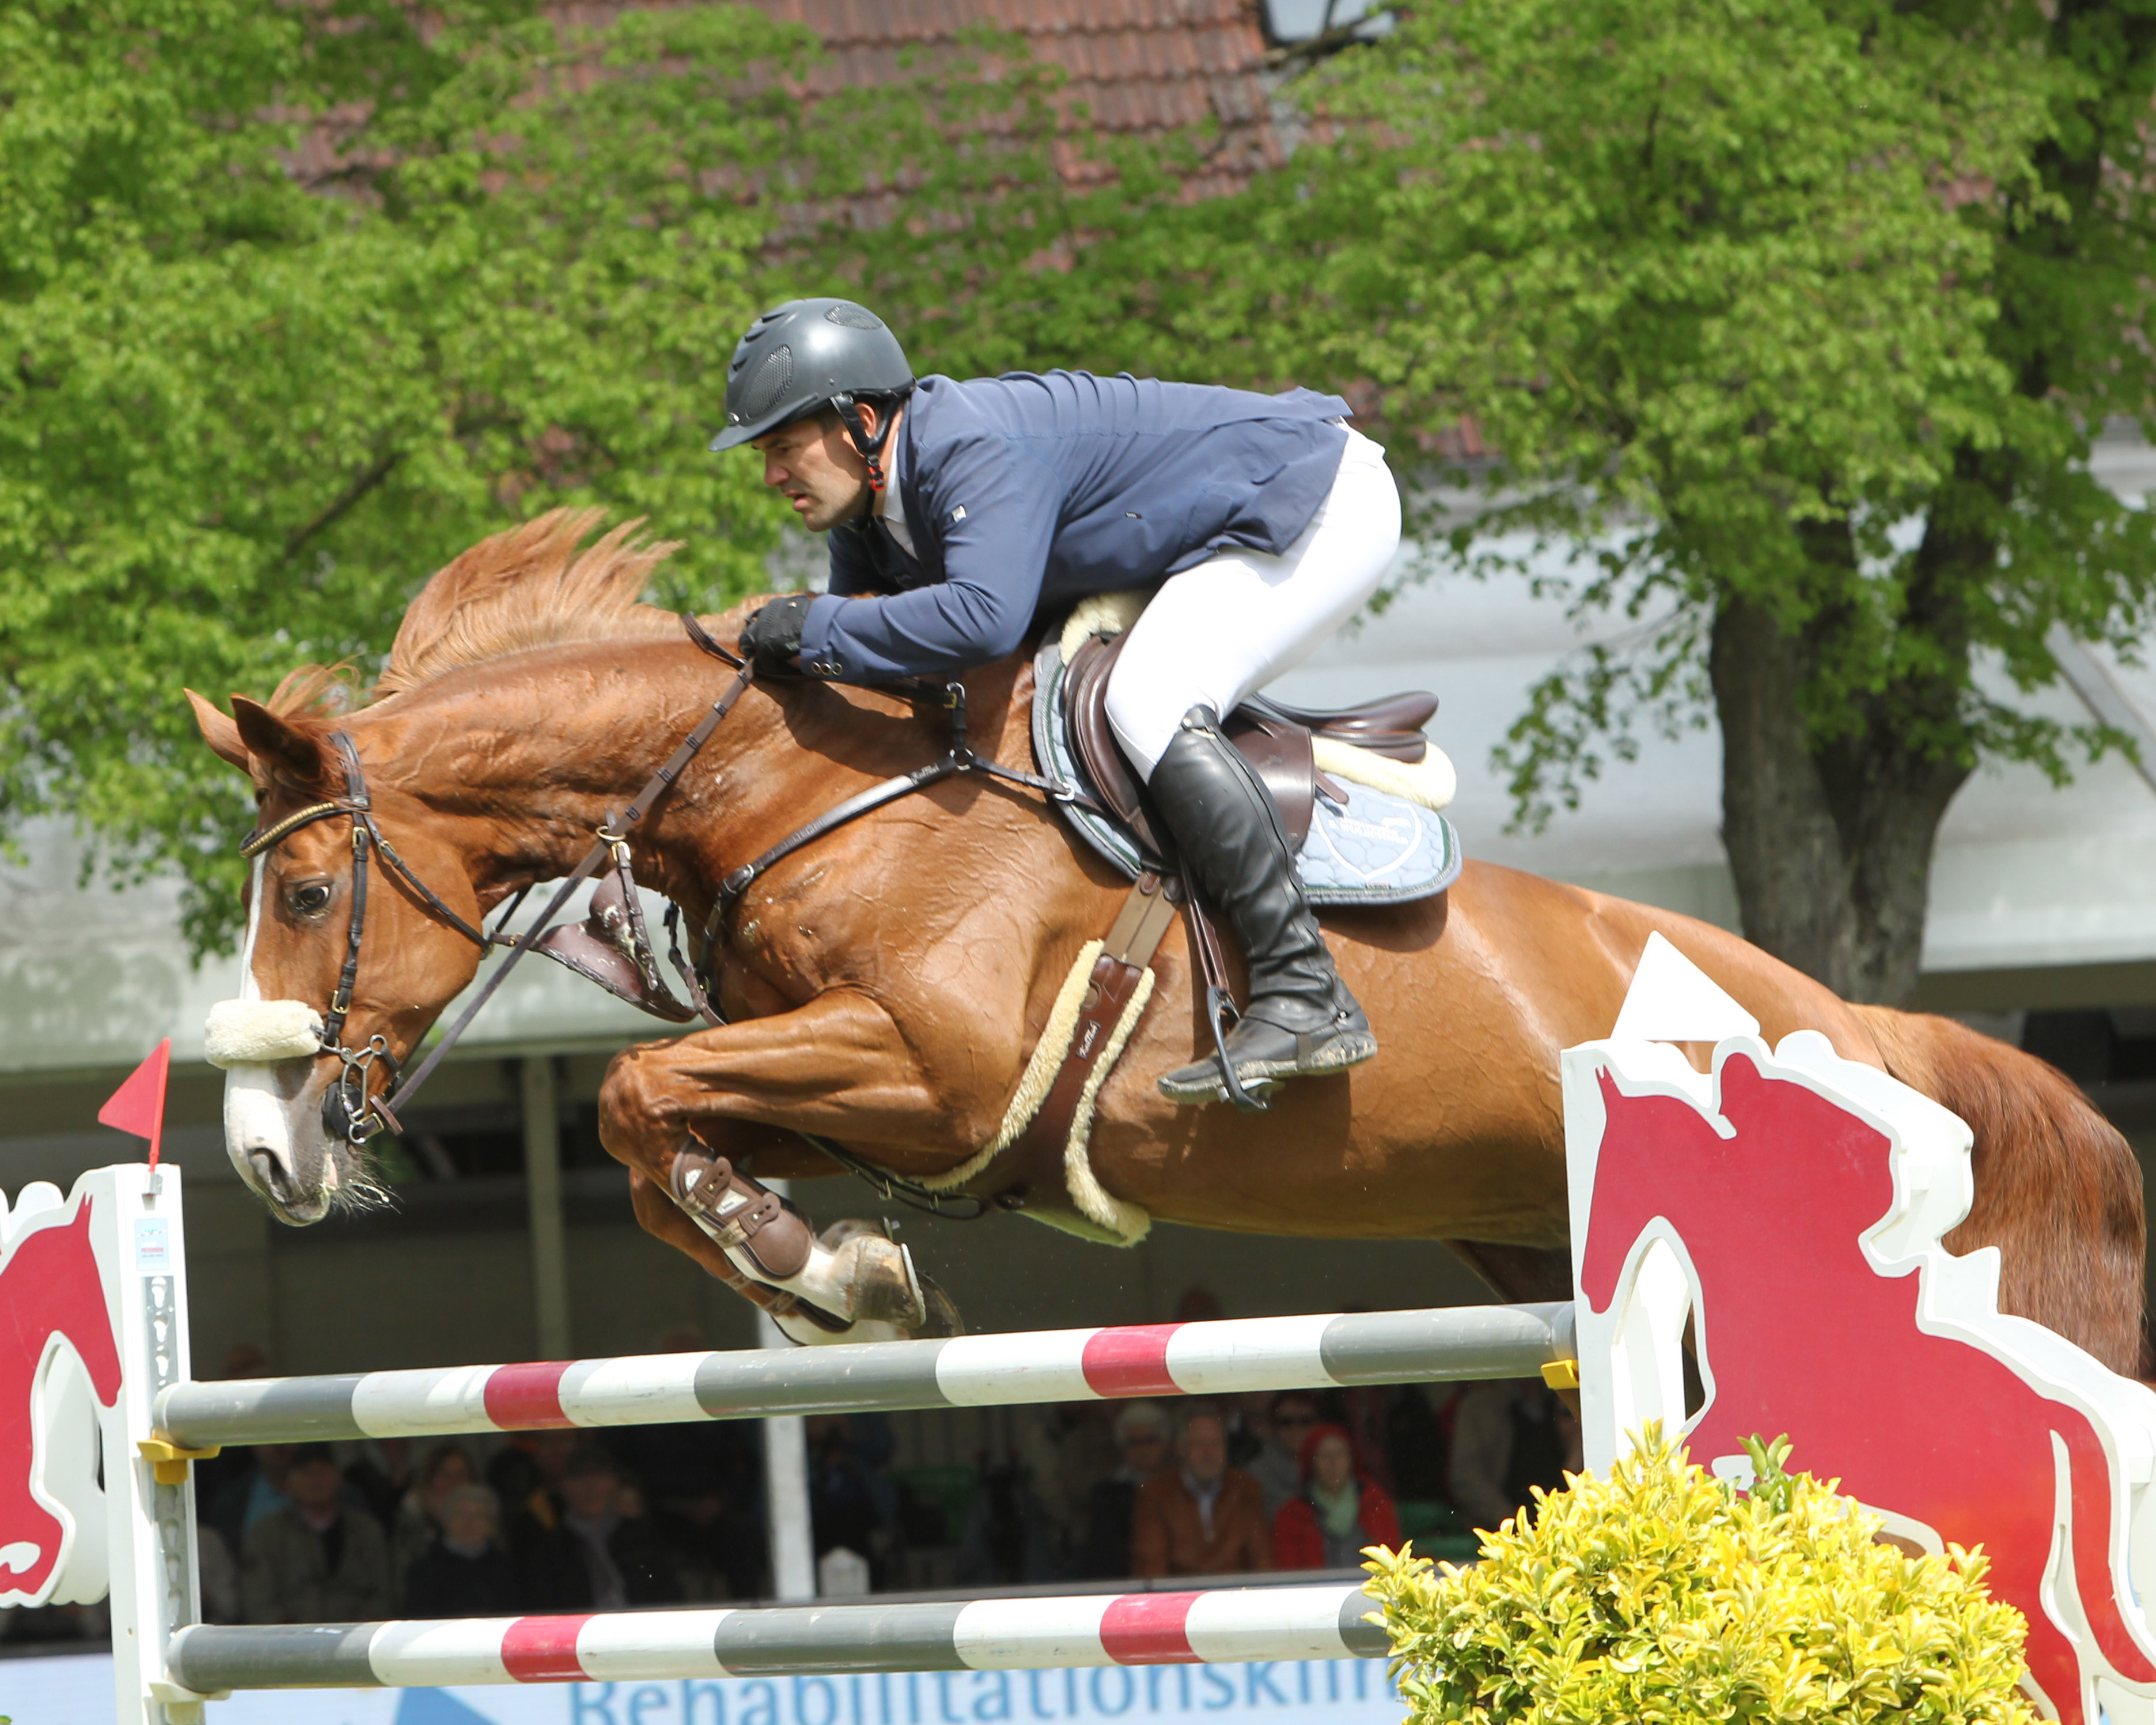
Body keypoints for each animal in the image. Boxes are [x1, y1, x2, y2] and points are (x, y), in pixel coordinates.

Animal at [181, 513, 2139, 1371]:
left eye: (302, 893)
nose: (264, 1153)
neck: (792, 779)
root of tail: (1862, 1019)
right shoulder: (853, 1089)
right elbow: (666, 1125)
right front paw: (825, 1272)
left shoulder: (938, 1068)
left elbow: (634, 1093)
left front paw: (822, 1271)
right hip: (1530, 1229)